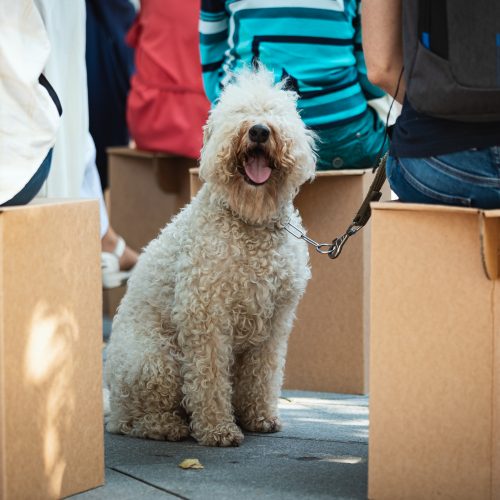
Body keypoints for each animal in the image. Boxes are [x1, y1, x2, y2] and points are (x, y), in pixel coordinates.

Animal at [105, 65, 316, 446]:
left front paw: (259, 417)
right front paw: (218, 429)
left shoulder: (275, 322)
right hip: (154, 361)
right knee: (134, 419)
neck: (249, 222)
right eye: (236, 112)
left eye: (275, 112)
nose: (259, 130)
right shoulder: (206, 318)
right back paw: (168, 426)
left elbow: (262, 374)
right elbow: (209, 380)